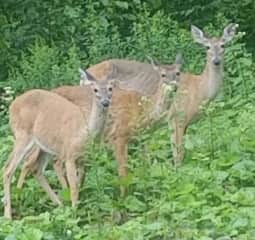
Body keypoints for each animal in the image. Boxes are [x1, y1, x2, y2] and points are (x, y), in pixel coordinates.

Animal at [2, 68, 116, 218]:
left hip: (45, 146)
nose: (105, 102)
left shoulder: (85, 158)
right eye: (95, 89)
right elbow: (73, 186)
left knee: (36, 169)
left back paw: (59, 205)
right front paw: (74, 213)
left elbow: (80, 182)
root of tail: (12, 105)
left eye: (110, 88)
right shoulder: (69, 155)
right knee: (8, 169)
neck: (85, 132)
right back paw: (8, 215)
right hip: (23, 135)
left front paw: (75, 208)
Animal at [15, 54, 182, 199]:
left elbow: (145, 166)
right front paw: (123, 198)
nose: (174, 87)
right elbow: (123, 171)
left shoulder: (141, 139)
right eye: (163, 75)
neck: (143, 110)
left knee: (41, 162)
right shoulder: (119, 136)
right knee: (33, 161)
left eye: (178, 73)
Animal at [168, 23, 238, 167]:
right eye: (207, 47)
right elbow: (178, 152)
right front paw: (177, 170)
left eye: (223, 45)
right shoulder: (178, 117)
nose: (216, 61)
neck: (199, 90)